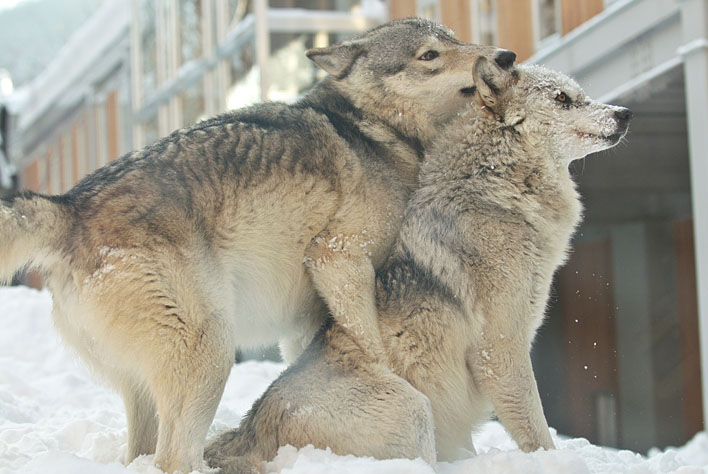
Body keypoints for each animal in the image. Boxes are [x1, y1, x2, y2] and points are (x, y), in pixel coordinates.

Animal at [0, 18, 516, 474]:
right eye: (429, 55)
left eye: (457, 39)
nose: (505, 56)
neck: (378, 131)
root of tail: (69, 206)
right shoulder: (338, 256)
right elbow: (371, 344)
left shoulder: (306, 317)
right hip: (212, 350)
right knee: (173, 459)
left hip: (154, 385)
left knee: (145, 457)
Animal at [203, 62, 632, 470]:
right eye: (562, 98)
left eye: (581, 95)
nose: (625, 113)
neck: (496, 187)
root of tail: (248, 431)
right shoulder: (499, 348)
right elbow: (537, 430)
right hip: (414, 408)